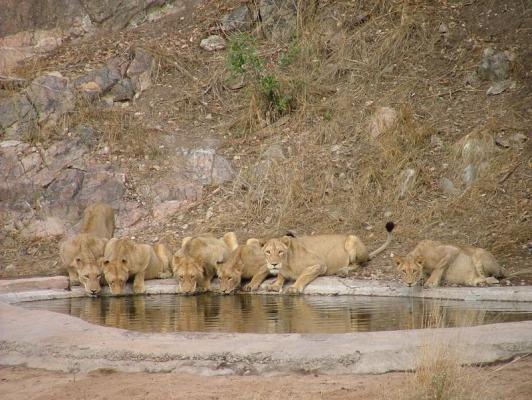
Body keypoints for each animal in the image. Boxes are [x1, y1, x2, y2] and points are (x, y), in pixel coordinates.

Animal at [262, 222, 394, 294]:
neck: (286, 263)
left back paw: (343, 271)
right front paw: (274, 285)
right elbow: (280, 276)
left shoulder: (320, 265)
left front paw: (294, 287)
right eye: (268, 252)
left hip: (352, 239)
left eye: (280, 252)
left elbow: (303, 276)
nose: (273, 264)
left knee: (361, 264)